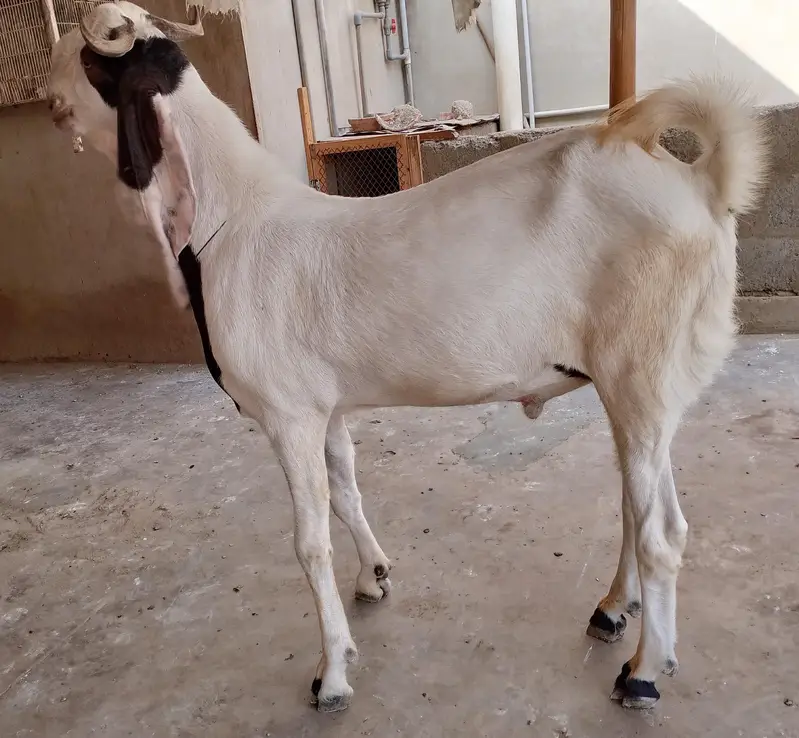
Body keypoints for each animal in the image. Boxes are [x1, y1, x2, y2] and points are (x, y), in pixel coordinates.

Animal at [47, 2, 768, 713]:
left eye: (90, 58)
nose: (48, 101)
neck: (232, 222)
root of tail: (703, 184)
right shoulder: (326, 408)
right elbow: (346, 493)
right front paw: (372, 576)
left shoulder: (287, 414)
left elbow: (308, 543)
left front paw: (331, 673)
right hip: (642, 386)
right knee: (638, 506)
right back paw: (614, 608)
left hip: (640, 370)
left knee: (661, 532)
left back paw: (643, 672)